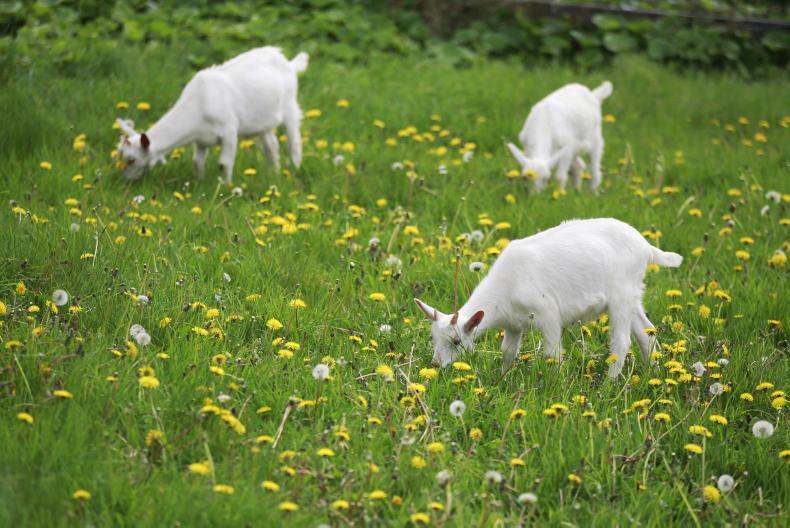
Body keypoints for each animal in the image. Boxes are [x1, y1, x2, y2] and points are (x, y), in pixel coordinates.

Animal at [116, 47, 308, 183]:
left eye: (131, 160)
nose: (127, 181)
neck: (199, 102)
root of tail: (289, 64)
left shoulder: (229, 131)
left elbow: (224, 163)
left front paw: (226, 186)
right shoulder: (201, 139)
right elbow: (197, 162)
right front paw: (199, 182)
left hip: (290, 106)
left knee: (294, 141)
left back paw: (295, 169)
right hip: (262, 121)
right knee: (271, 145)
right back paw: (273, 173)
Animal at [415, 218, 682, 378]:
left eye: (456, 341)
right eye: (432, 337)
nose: (435, 365)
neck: (507, 286)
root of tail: (646, 247)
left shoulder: (548, 315)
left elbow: (552, 353)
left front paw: (558, 385)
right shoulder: (513, 325)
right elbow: (507, 352)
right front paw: (503, 378)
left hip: (621, 296)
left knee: (622, 342)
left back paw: (610, 381)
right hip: (633, 295)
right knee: (646, 333)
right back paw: (654, 371)